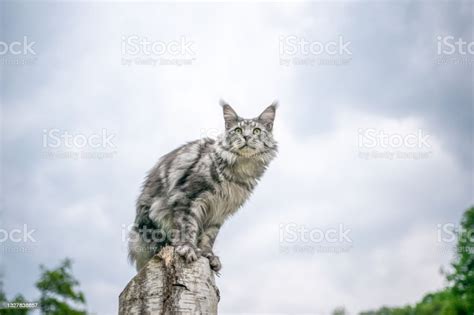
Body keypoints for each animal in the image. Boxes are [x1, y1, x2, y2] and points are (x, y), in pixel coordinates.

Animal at [129, 101, 278, 272]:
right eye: (238, 130)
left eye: (256, 130)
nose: (246, 137)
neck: (239, 171)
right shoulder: (187, 197)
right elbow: (188, 226)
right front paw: (188, 248)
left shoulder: (218, 212)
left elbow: (208, 237)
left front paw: (208, 255)